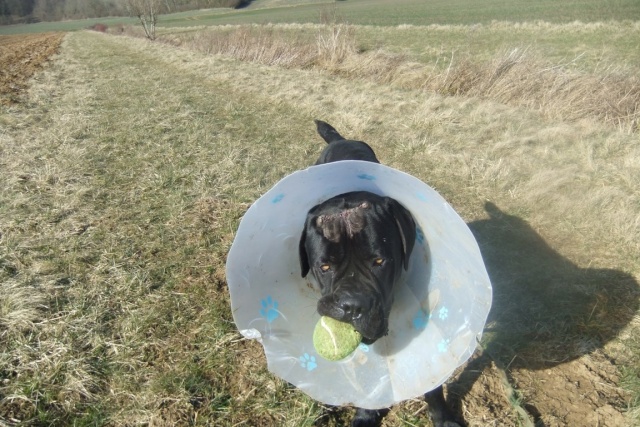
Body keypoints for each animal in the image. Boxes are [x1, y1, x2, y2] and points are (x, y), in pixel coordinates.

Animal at [300, 121, 460, 427]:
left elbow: (433, 379)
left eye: (379, 261)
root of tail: (340, 139)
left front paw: (443, 417)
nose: (351, 306)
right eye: (324, 267)